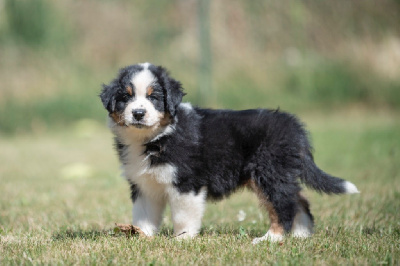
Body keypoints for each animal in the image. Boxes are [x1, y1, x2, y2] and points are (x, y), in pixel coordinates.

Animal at [100, 61, 360, 243]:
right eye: (125, 97)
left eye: (154, 97)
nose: (138, 113)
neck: (154, 137)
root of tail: (294, 127)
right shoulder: (144, 184)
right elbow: (144, 214)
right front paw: (141, 235)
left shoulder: (187, 183)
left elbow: (184, 216)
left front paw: (182, 239)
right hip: (277, 174)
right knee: (299, 200)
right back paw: (301, 235)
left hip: (269, 172)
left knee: (284, 205)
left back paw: (270, 239)